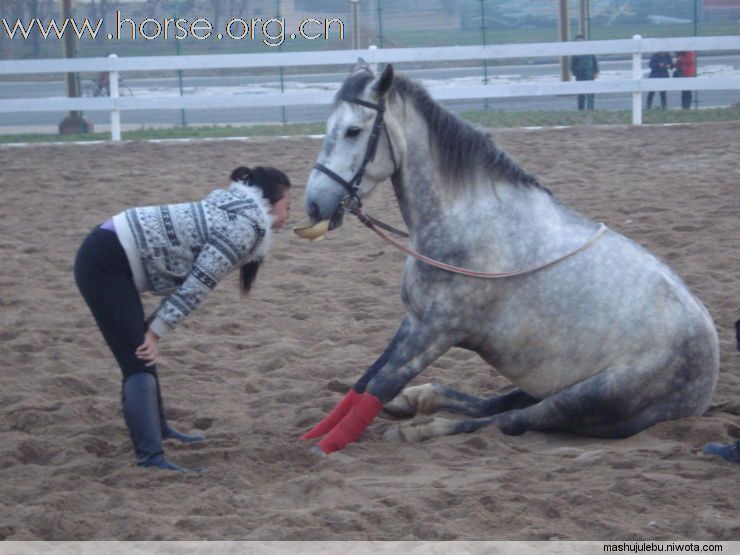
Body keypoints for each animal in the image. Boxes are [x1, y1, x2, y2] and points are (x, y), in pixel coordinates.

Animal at [298, 63, 720, 456]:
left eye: (353, 131)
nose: (314, 204)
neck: (466, 217)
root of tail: (707, 378)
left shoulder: (440, 329)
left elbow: (382, 382)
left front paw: (327, 444)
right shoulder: (415, 319)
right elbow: (367, 379)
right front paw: (317, 431)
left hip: (593, 397)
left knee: (510, 420)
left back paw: (422, 428)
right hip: (557, 386)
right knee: (498, 403)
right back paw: (420, 399)